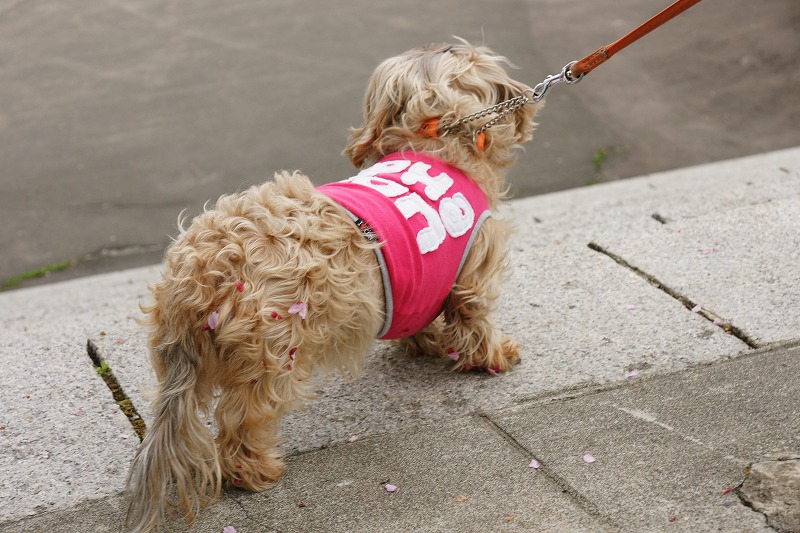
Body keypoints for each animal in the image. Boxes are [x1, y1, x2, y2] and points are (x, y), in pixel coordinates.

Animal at [125, 40, 536, 528]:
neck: (434, 133)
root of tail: (198, 280)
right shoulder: (471, 270)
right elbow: (474, 320)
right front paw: (494, 355)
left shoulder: (416, 283)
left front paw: (428, 342)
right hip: (274, 358)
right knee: (240, 421)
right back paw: (255, 471)